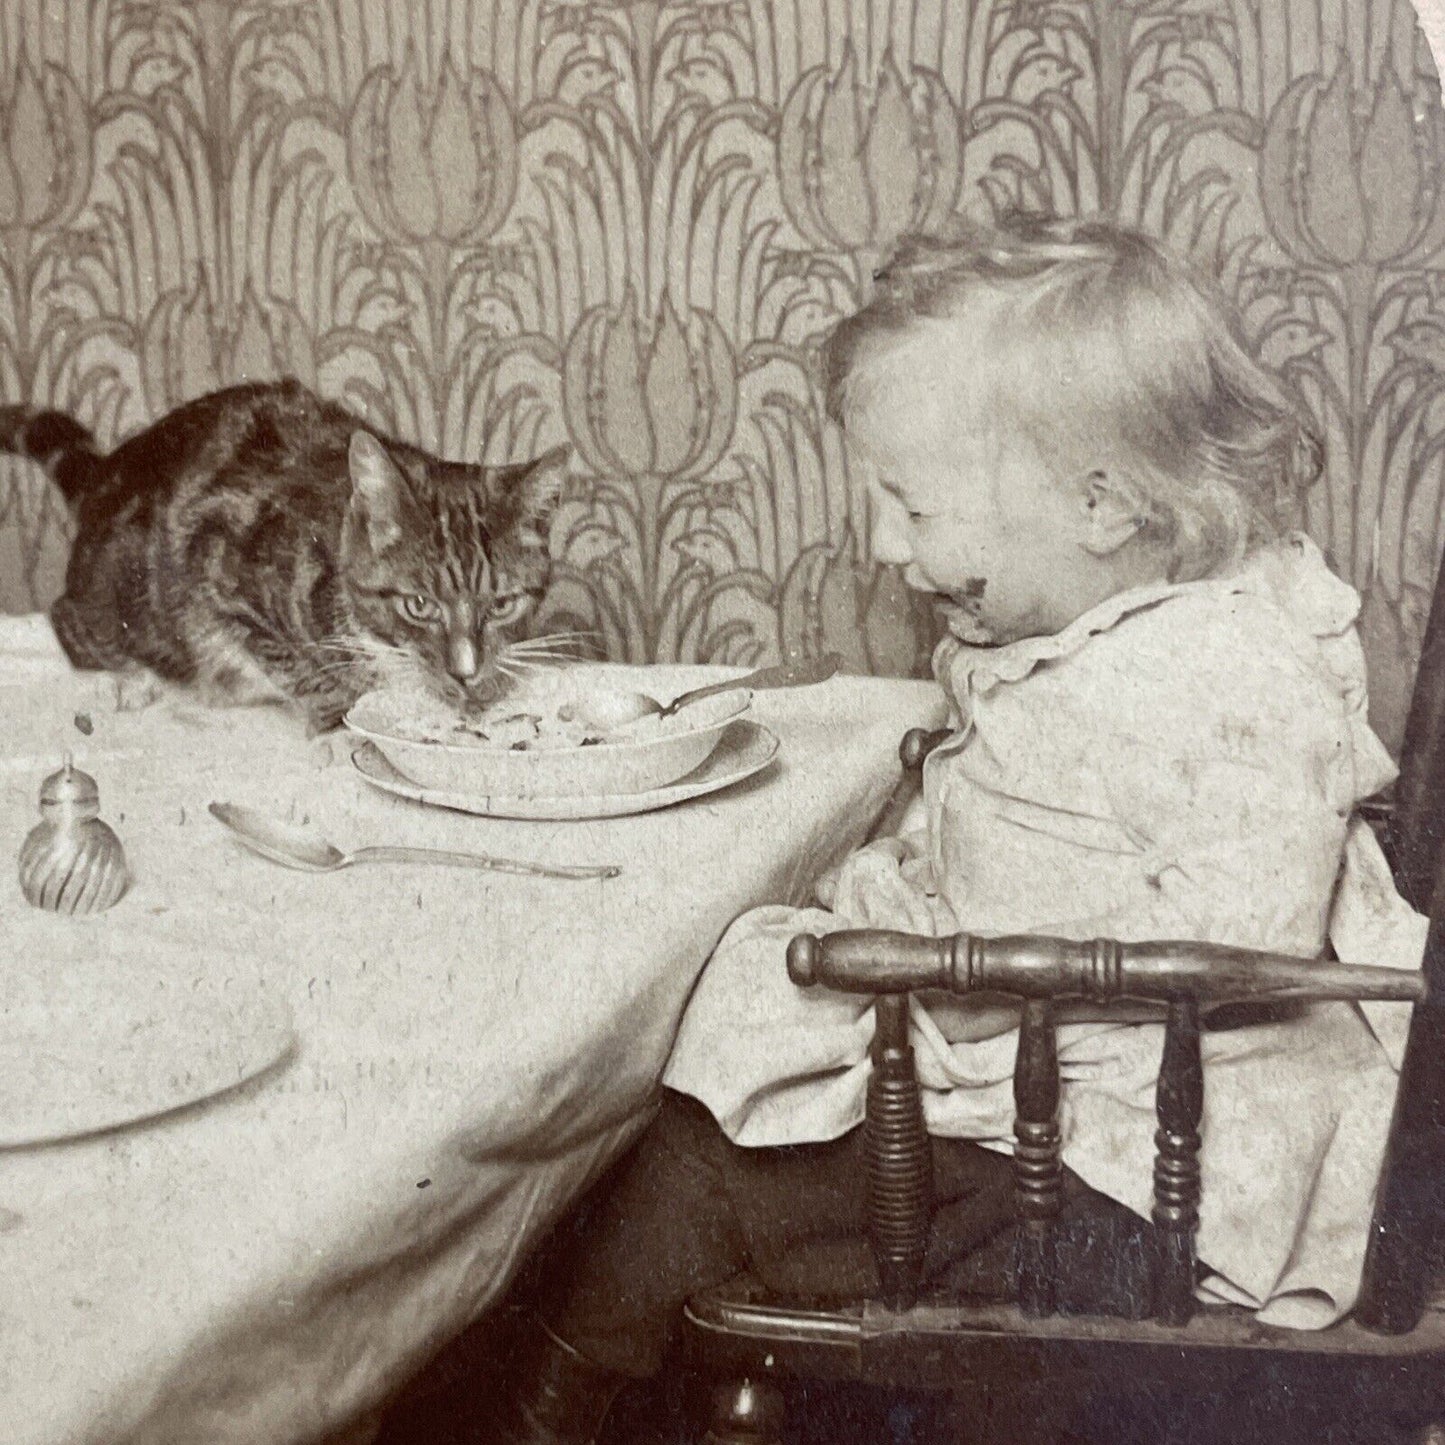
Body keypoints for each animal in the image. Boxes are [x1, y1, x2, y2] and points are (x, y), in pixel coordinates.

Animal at [2, 378, 572, 728]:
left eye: (502, 605)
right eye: (418, 605)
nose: (465, 670)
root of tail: (105, 474)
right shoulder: (221, 571)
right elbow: (292, 663)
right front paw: (337, 724)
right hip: (124, 598)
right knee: (69, 620)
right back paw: (129, 679)